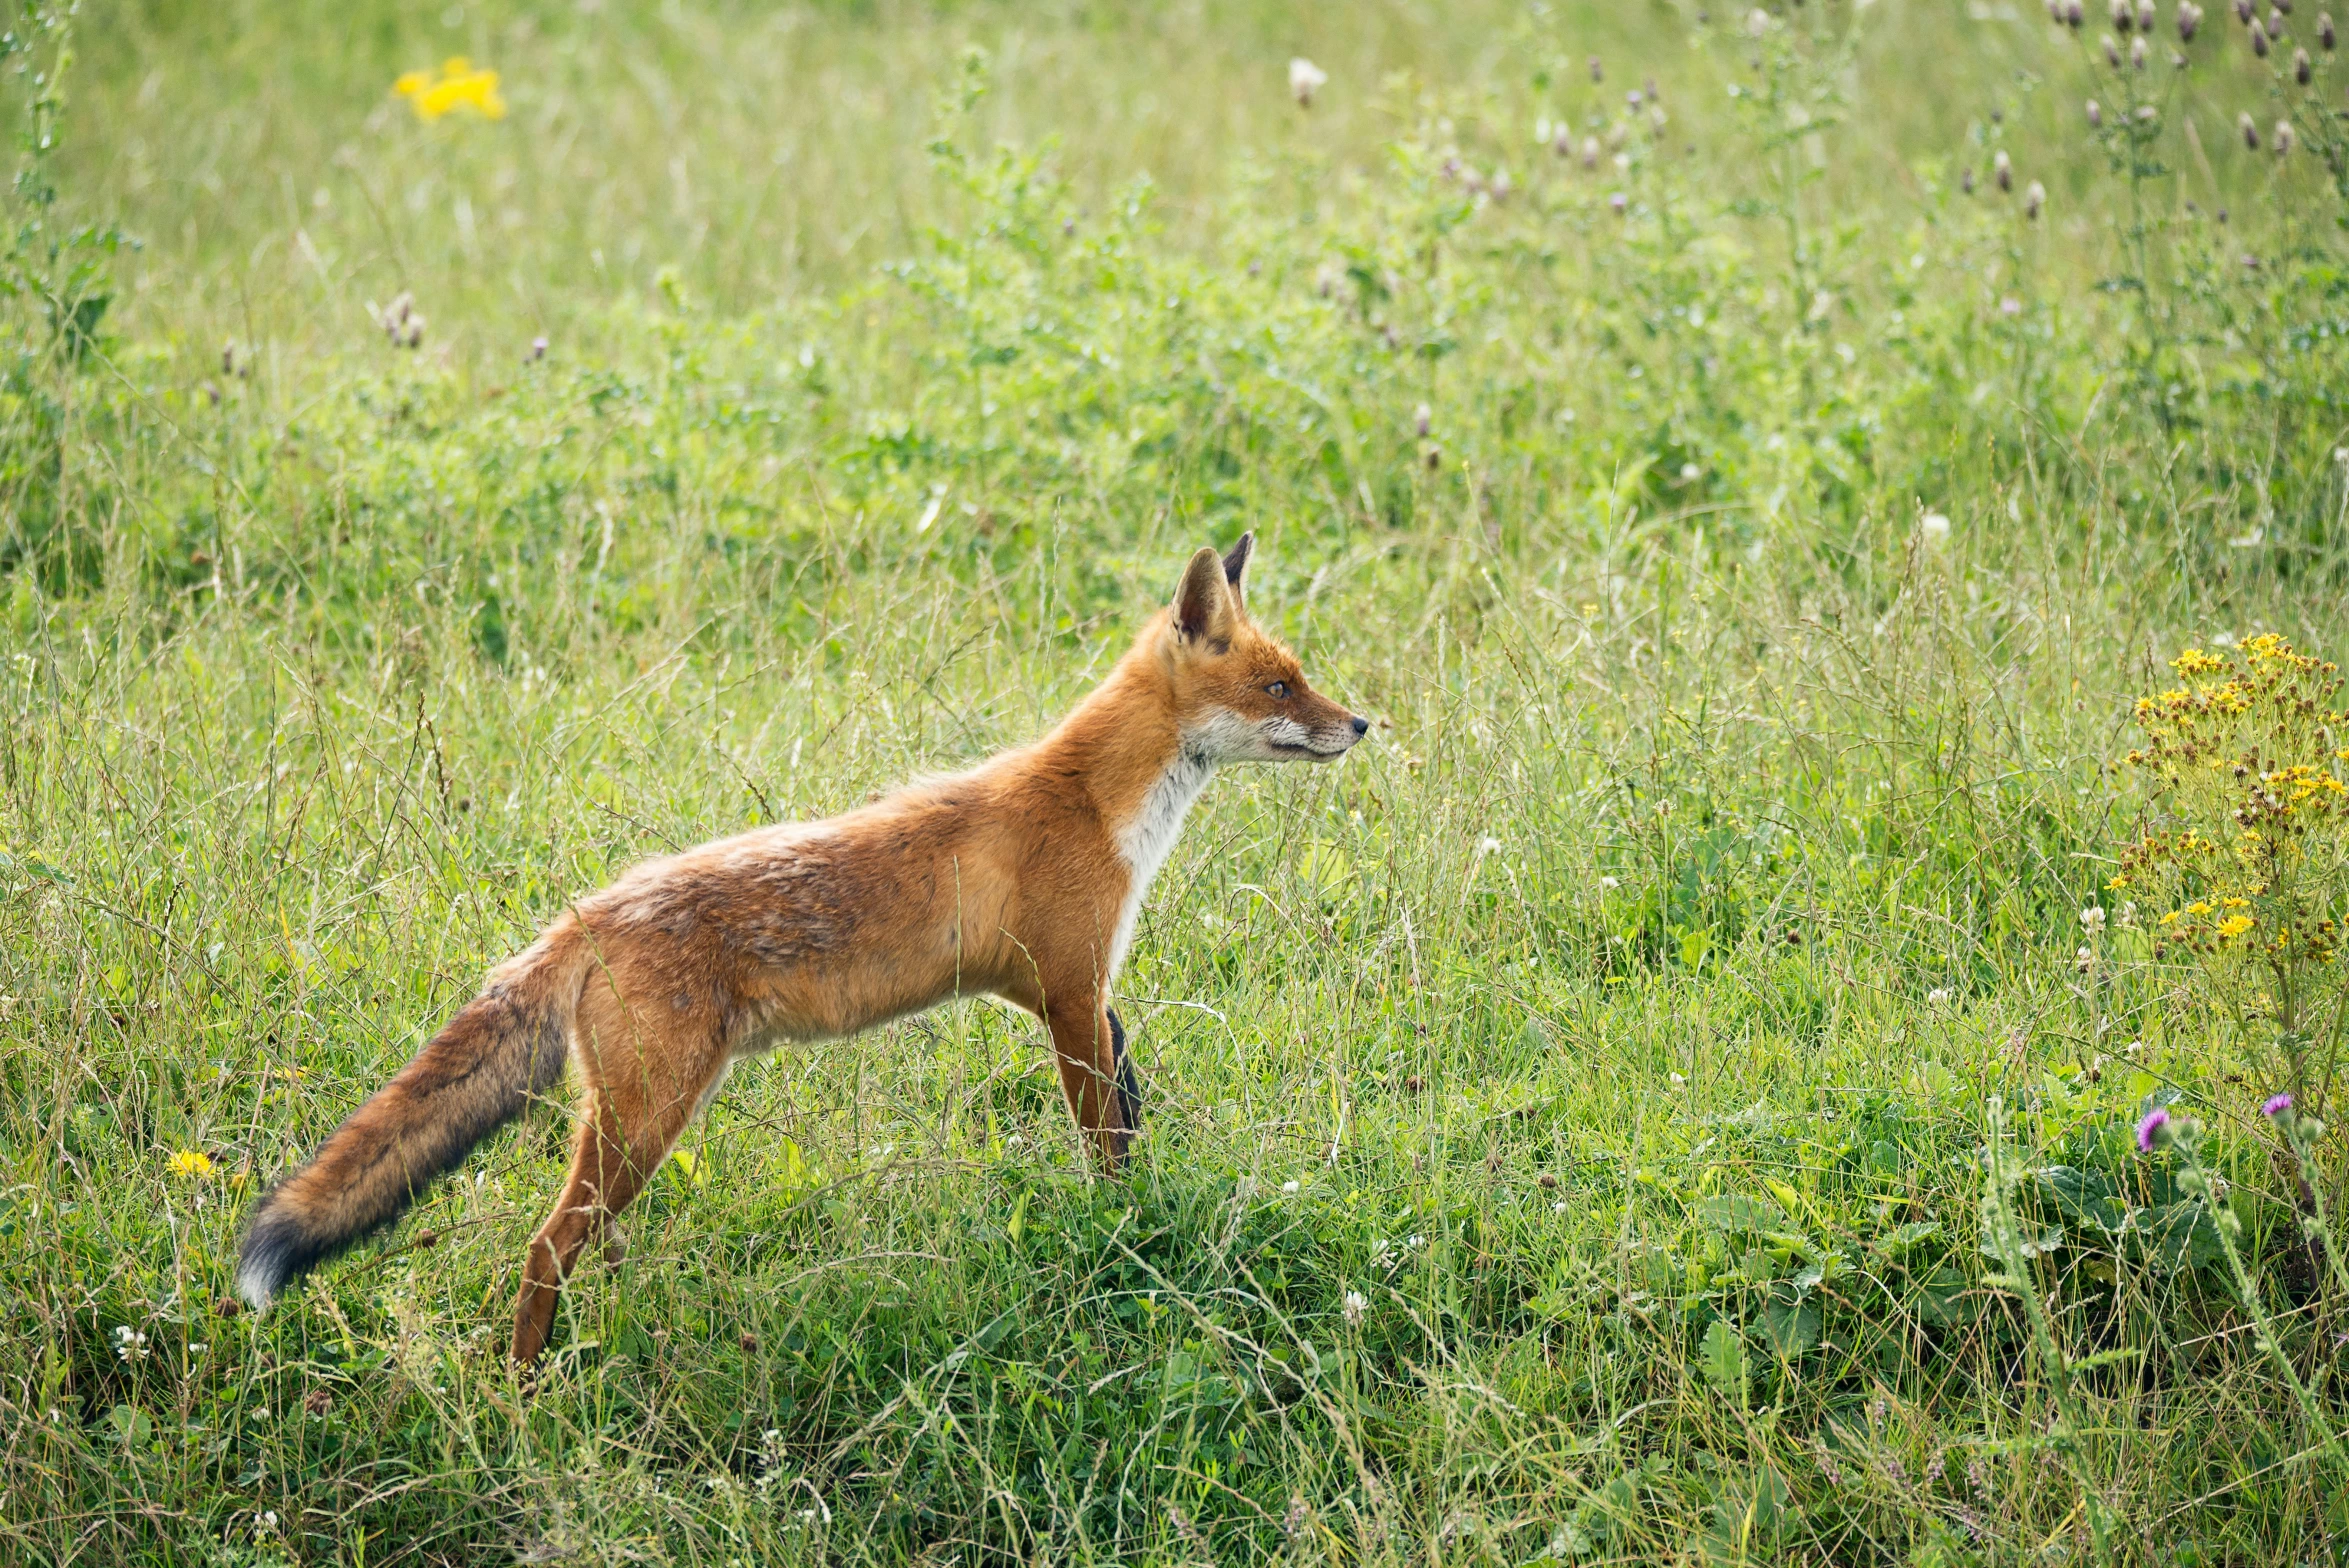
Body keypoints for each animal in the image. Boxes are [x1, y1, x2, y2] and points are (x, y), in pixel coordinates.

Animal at [229, 535, 1371, 1361]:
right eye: (1279, 689)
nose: (1362, 724)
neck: (1097, 804)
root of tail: (585, 913)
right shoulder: (1067, 989)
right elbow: (1106, 1144)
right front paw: (1123, 1236)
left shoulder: (1084, 993)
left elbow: (1132, 1111)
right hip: (647, 1118)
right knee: (544, 1249)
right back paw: (524, 1390)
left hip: (629, 1129)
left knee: (584, 1245)